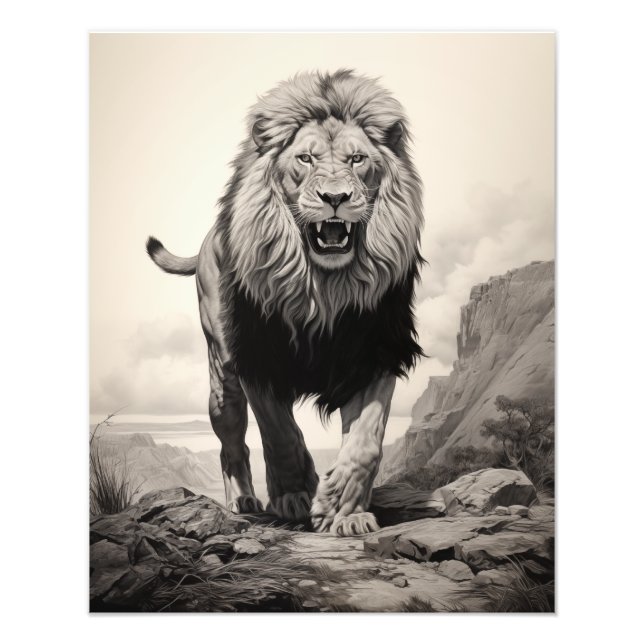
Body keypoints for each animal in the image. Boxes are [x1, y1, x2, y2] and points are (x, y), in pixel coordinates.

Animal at [146, 69, 424, 536]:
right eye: (306, 159)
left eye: (357, 160)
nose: (336, 198)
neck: (325, 289)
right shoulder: (258, 358)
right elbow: (279, 434)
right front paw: (296, 495)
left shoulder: (375, 354)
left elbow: (366, 442)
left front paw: (341, 509)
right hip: (221, 380)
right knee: (231, 445)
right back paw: (244, 500)